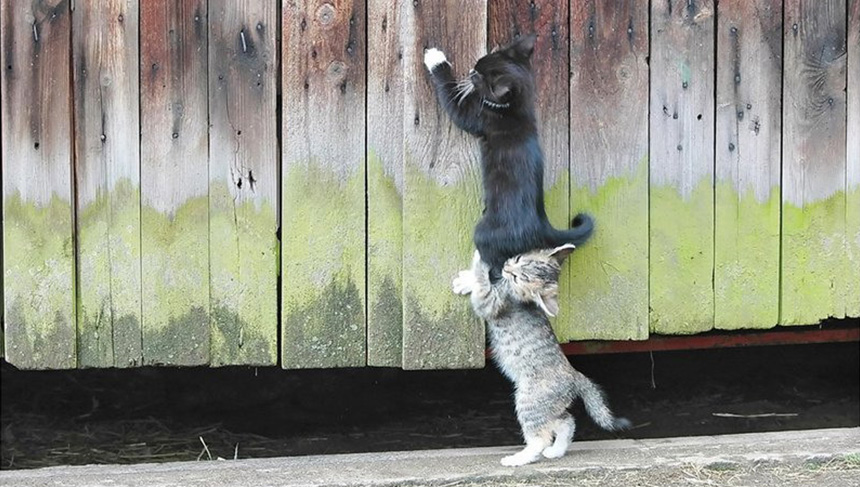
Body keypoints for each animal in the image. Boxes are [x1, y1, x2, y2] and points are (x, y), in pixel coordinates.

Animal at [422, 34, 592, 278]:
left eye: (478, 76)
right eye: (479, 63)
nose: (471, 71)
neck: (515, 109)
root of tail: (543, 227)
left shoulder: (477, 116)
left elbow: (453, 100)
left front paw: (436, 59)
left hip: (486, 233)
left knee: (496, 267)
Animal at [454, 248, 628, 468]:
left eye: (517, 277)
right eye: (518, 259)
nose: (505, 267)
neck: (514, 292)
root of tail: (574, 376)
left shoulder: (491, 304)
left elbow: (482, 284)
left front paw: (477, 265)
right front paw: (468, 280)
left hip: (529, 402)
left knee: (541, 438)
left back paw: (518, 459)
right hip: (548, 409)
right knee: (566, 421)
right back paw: (556, 451)